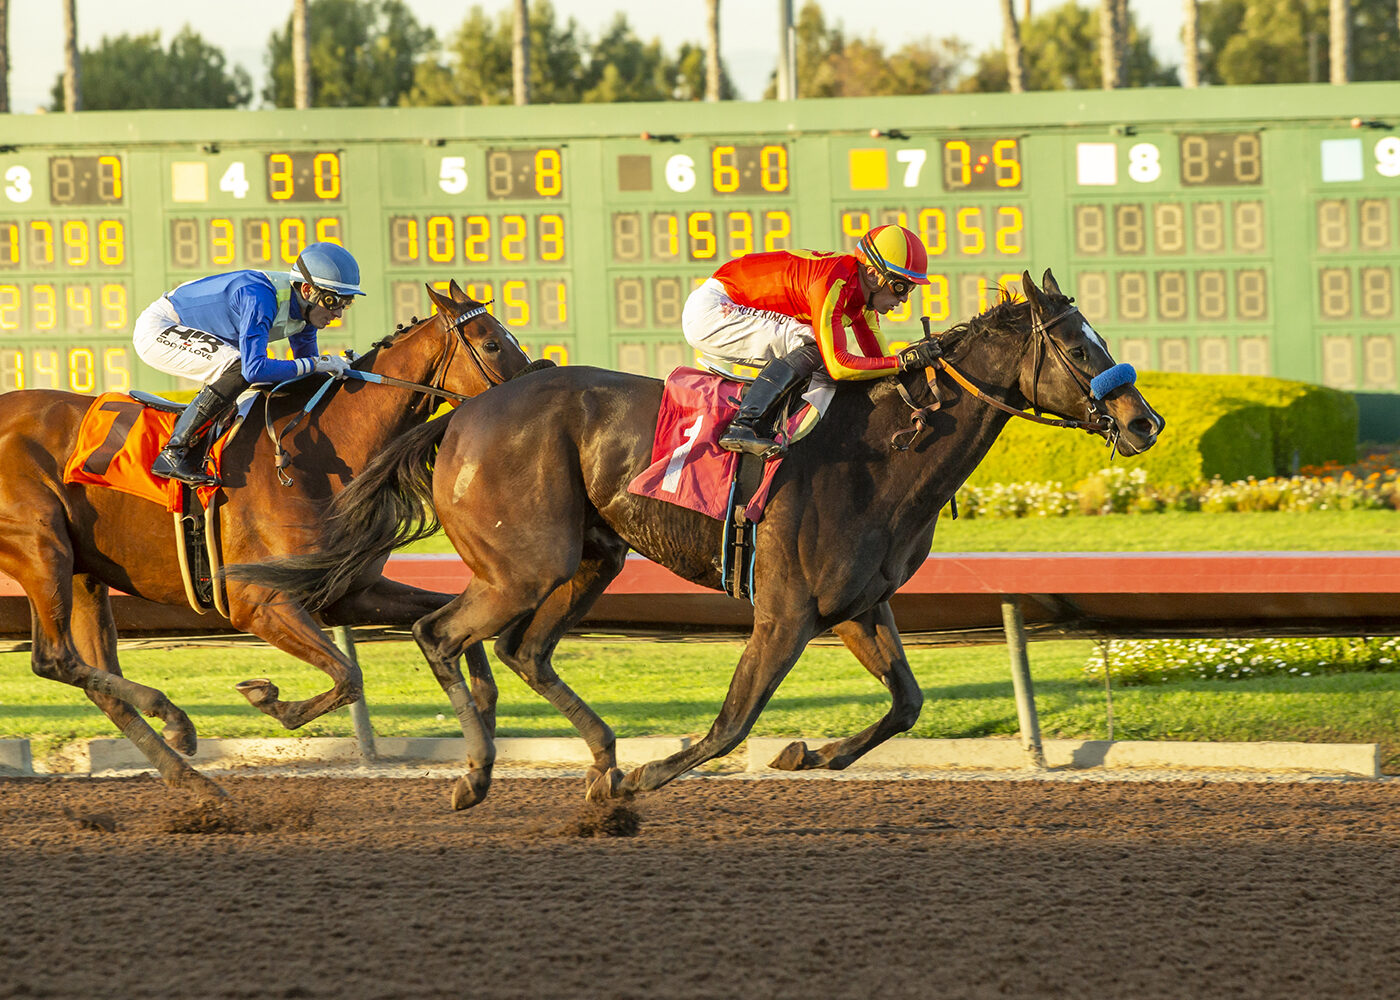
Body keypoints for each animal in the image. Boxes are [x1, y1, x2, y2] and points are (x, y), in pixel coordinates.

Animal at [0, 278, 529, 795]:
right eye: (491, 342)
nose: (530, 389)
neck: (316, 456)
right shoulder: (256, 601)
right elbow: (350, 675)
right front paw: (268, 698)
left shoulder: (349, 593)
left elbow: (437, 621)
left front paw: (483, 723)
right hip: (42, 549)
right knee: (54, 659)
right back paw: (176, 721)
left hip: (84, 574)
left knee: (96, 677)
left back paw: (194, 779)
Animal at [238, 268, 1159, 806]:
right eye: (1080, 348)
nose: (1145, 421)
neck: (889, 448)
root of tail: (460, 414)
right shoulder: (786, 612)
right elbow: (732, 721)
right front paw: (653, 776)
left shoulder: (857, 606)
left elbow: (905, 704)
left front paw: (808, 755)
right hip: (525, 563)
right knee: (441, 633)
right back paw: (480, 774)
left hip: (587, 558)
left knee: (520, 651)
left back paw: (595, 759)